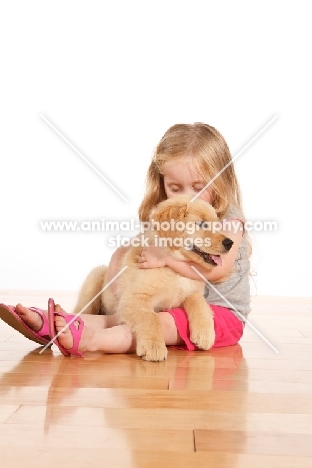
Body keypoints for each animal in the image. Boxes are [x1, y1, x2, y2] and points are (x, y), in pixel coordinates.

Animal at [74, 194, 233, 362]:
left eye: (217, 224)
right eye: (202, 224)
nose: (230, 243)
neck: (174, 268)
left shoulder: (191, 292)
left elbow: (198, 301)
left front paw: (204, 333)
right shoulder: (133, 298)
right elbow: (150, 317)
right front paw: (153, 347)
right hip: (95, 276)